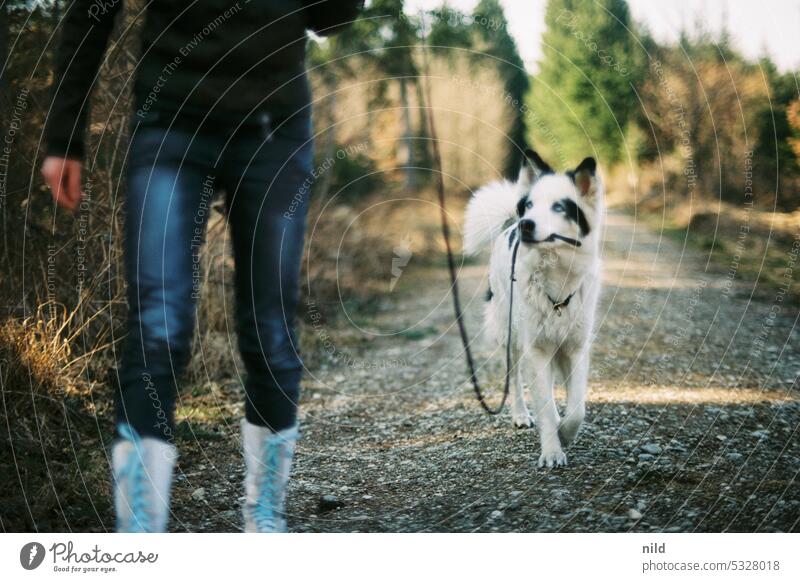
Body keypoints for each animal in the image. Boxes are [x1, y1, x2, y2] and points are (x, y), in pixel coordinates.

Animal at [462, 149, 608, 470]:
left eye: (559, 207)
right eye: (529, 205)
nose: (525, 224)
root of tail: (508, 225)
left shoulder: (575, 348)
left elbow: (576, 408)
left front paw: (565, 432)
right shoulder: (537, 349)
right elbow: (544, 401)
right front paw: (552, 450)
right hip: (512, 338)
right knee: (516, 381)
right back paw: (520, 415)